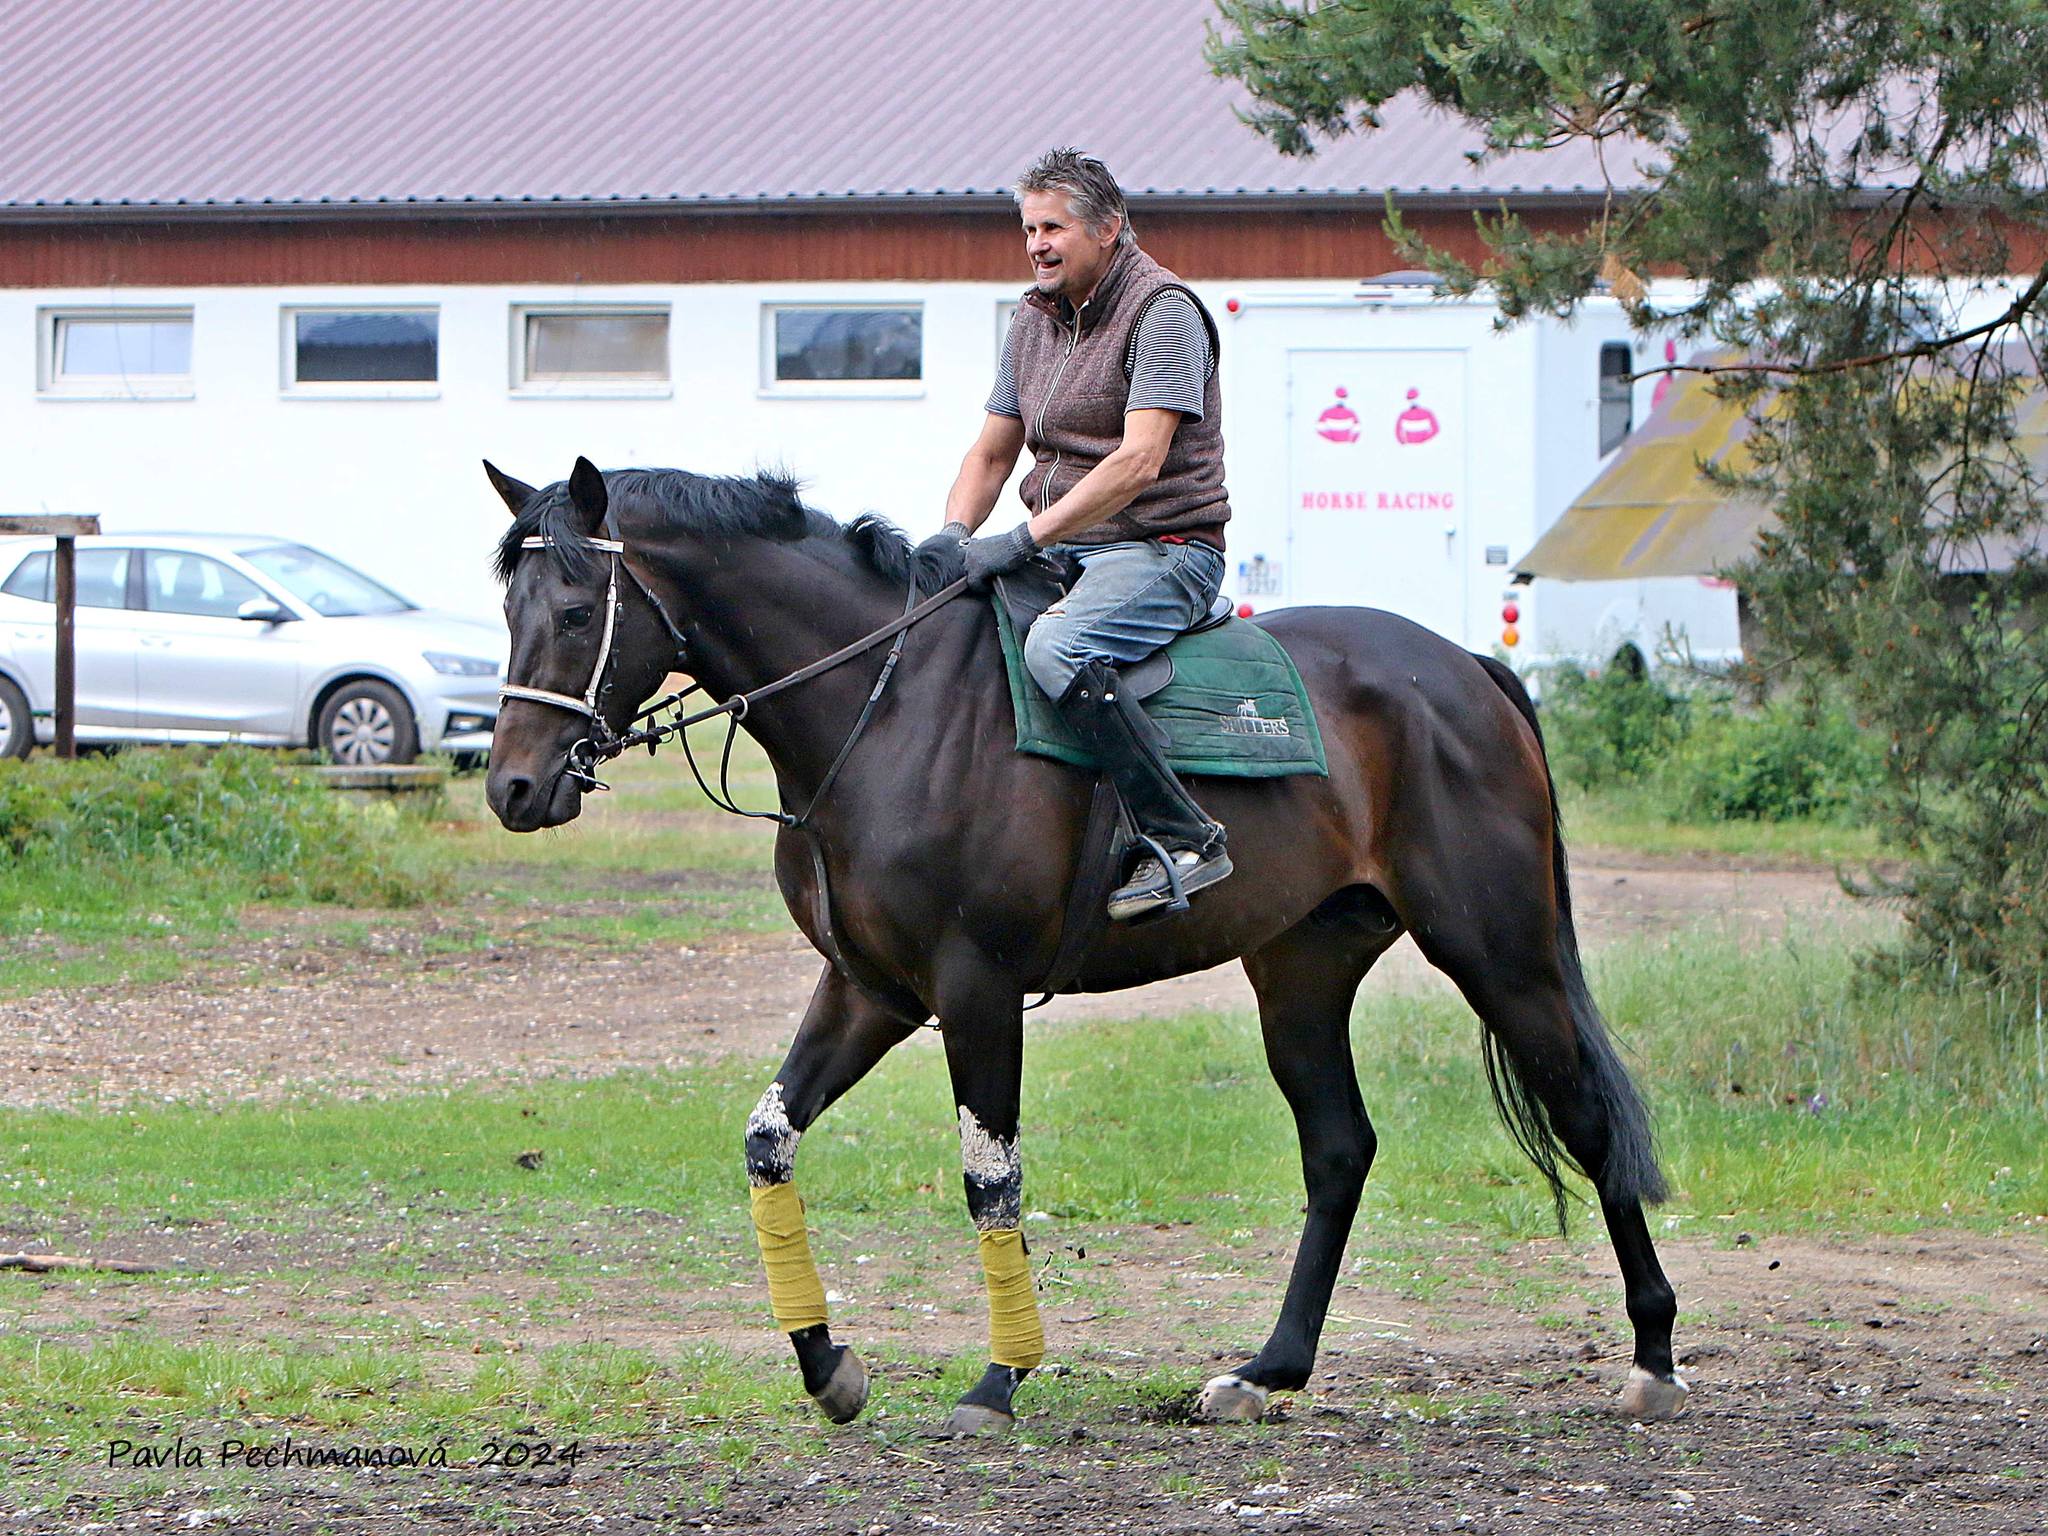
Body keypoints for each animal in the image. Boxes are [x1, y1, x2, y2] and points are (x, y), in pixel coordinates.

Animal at [487, 462, 1687, 1441]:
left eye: (573, 609)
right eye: (508, 608)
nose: (512, 788)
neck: (886, 706)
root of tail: (1464, 668)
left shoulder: (973, 989)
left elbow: (991, 1181)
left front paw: (997, 1380)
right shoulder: (871, 990)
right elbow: (768, 1141)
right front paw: (830, 1369)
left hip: (1497, 950)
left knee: (1586, 1116)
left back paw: (1653, 1357)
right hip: (1302, 972)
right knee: (1339, 1149)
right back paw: (1268, 1371)